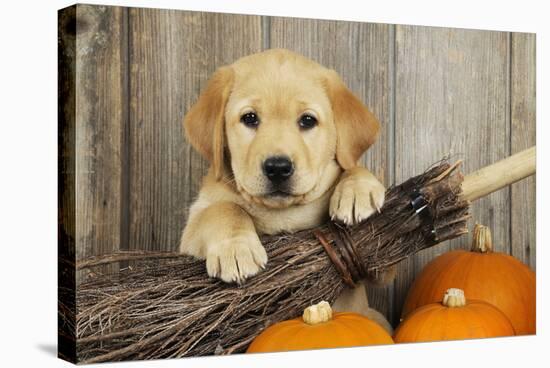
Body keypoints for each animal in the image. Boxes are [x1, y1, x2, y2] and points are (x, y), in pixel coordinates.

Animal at [181, 48, 392, 330]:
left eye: (307, 120)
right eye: (250, 118)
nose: (278, 168)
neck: (283, 212)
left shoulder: (379, 266)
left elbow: (351, 166)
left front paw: (357, 189)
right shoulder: (188, 236)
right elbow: (224, 209)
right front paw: (236, 248)